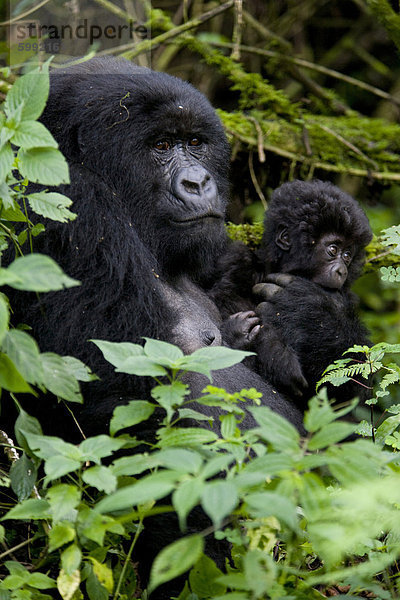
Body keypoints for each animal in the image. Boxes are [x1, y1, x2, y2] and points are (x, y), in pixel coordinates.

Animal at [211, 177, 374, 404]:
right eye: (333, 250)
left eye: (348, 255)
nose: (342, 271)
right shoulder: (237, 262)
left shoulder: (346, 298)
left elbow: (351, 384)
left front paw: (307, 308)